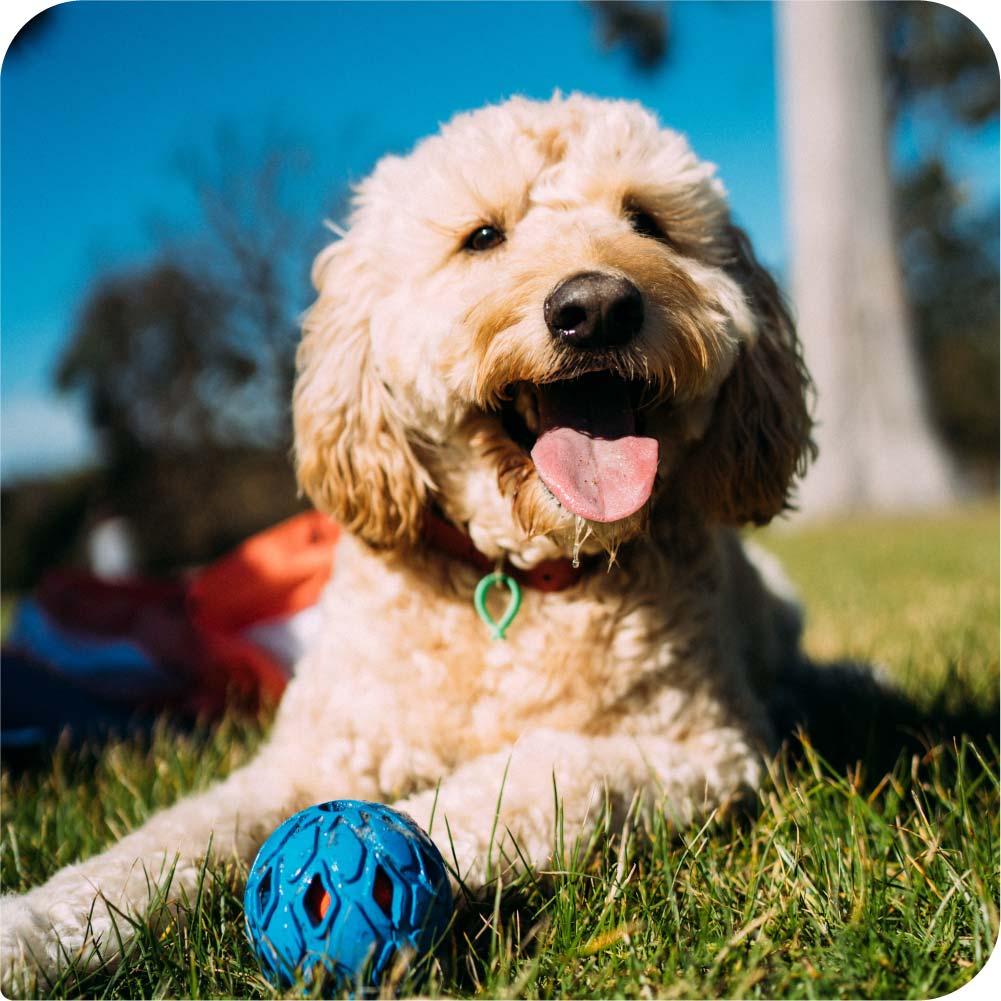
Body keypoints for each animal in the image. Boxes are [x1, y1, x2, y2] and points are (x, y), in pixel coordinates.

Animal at [1, 95, 812, 992]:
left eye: (646, 220)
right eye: (482, 236)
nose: (596, 306)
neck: (513, 577)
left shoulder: (699, 748)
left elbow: (519, 782)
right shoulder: (312, 754)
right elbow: (168, 841)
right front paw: (32, 930)